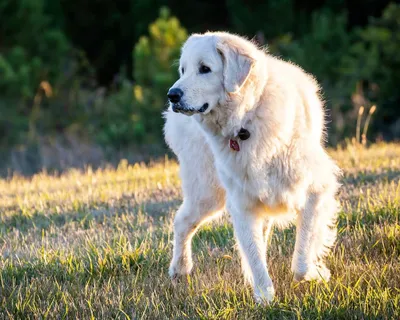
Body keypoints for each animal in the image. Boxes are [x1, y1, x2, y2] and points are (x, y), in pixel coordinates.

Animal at [162, 31, 340, 304]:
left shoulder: (315, 190)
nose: (173, 95)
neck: (245, 121)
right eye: (183, 69)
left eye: (205, 69)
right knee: (182, 221)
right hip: (207, 193)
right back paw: (180, 268)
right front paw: (266, 297)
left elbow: (301, 257)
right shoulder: (242, 203)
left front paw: (314, 272)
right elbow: (255, 254)